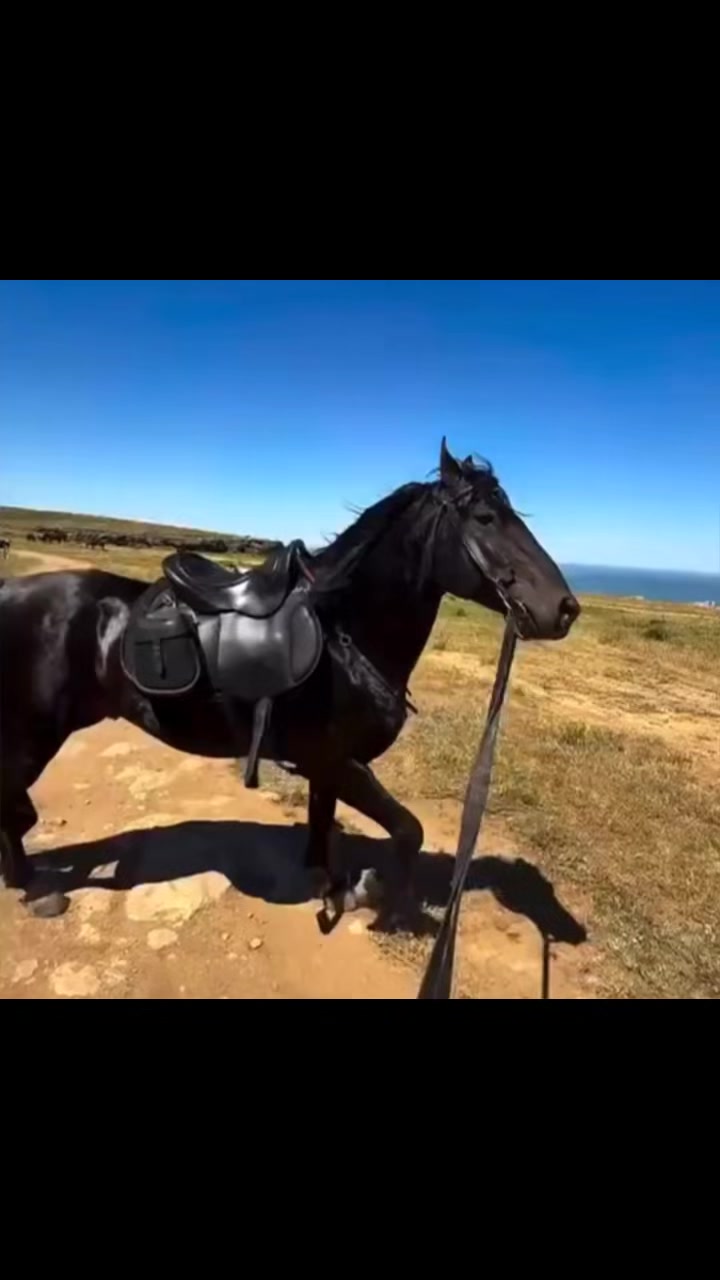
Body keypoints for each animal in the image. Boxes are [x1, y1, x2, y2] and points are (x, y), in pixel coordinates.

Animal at [0, 440, 580, 924]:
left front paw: (330, 883)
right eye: (485, 517)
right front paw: (373, 894)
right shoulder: (337, 761)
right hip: (33, 737)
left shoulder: (329, 766)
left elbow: (324, 823)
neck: (346, 633)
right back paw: (34, 888)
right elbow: (407, 830)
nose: (565, 608)